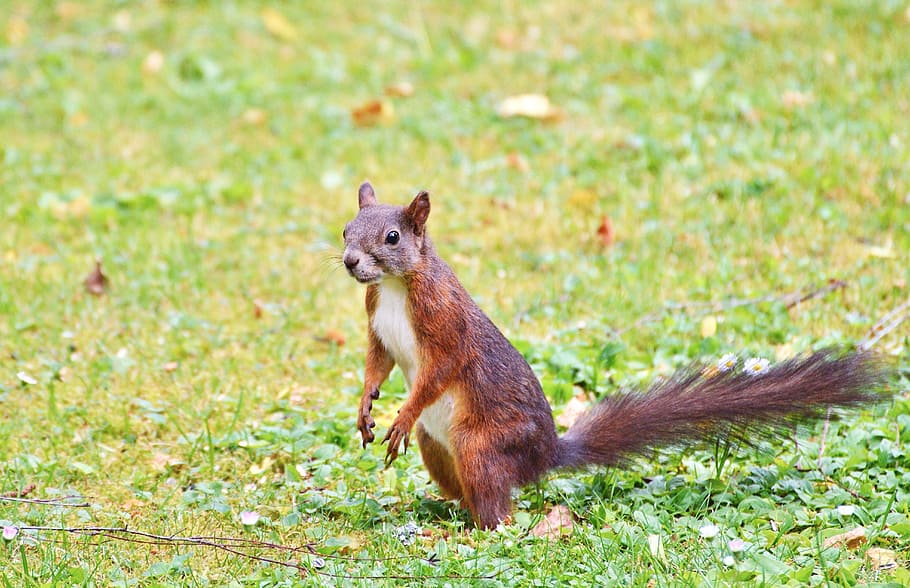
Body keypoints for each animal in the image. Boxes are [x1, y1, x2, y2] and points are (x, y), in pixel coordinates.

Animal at [341, 181, 889, 530]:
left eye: (392, 237)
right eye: (346, 229)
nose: (349, 261)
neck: (396, 286)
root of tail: (544, 455)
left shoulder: (445, 325)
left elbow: (437, 372)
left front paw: (401, 415)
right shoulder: (377, 327)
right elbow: (378, 364)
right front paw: (366, 405)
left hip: (482, 441)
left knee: (499, 505)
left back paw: (480, 528)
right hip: (439, 447)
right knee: (468, 493)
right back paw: (441, 510)